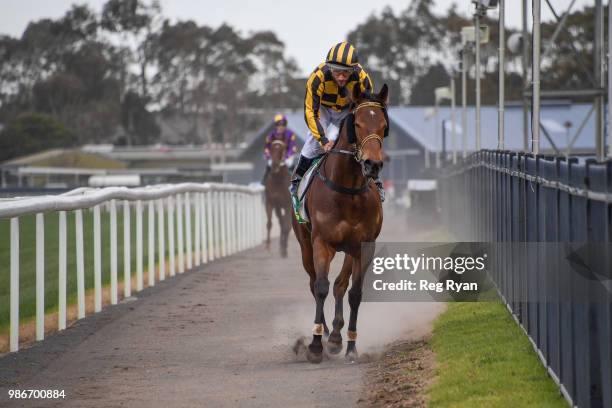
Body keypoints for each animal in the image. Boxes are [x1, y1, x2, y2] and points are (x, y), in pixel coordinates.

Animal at [292, 83, 388, 364]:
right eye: (357, 123)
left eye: (383, 125)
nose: (372, 164)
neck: (348, 191)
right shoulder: (321, 242)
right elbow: (321, 287)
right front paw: (315, 345)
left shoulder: (364, 246)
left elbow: (354, 292)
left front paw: (350, 345)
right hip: (305, 244)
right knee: (314, 283)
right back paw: (325, 334)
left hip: (348, 249)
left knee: (340, 286)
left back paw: (335, 336)